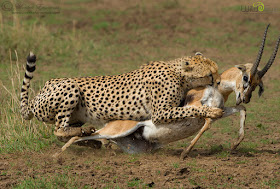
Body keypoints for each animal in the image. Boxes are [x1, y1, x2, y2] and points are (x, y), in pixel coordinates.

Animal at [20, 52, 223, 138]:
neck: (178, 73)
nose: (219, 82)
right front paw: (211, 111)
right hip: (69, 86)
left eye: (217, 71)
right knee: (58, 129)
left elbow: (188, 108)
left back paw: (82, 131)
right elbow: (190, 110)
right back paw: (81, 131)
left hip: (75, 114)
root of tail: (36, 96)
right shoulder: (159, 113)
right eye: (210, 75)